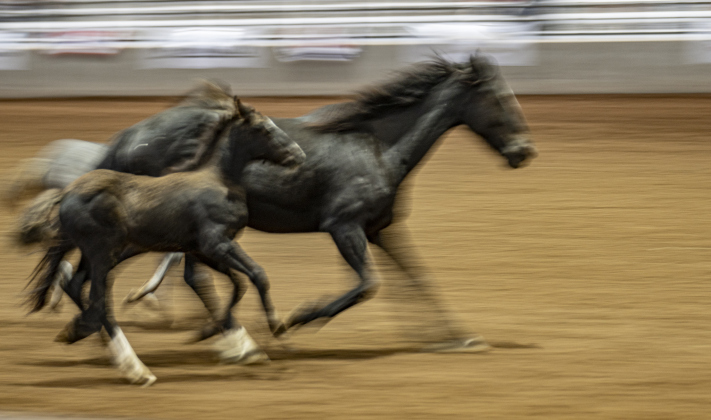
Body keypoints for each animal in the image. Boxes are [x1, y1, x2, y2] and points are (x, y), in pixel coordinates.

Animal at [22, 99, 306, 386]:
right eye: (264, 128)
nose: (299, 154)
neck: (220, 182)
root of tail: (66, 193)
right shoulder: (217, 244)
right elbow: (257, 275)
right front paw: (277, 331)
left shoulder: (202, 251)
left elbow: (238, 284)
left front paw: (223, 336)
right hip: (102, 253)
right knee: (99, 303)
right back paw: (136, 368)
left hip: (96, 256)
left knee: (76, 285)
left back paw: (85, 336)